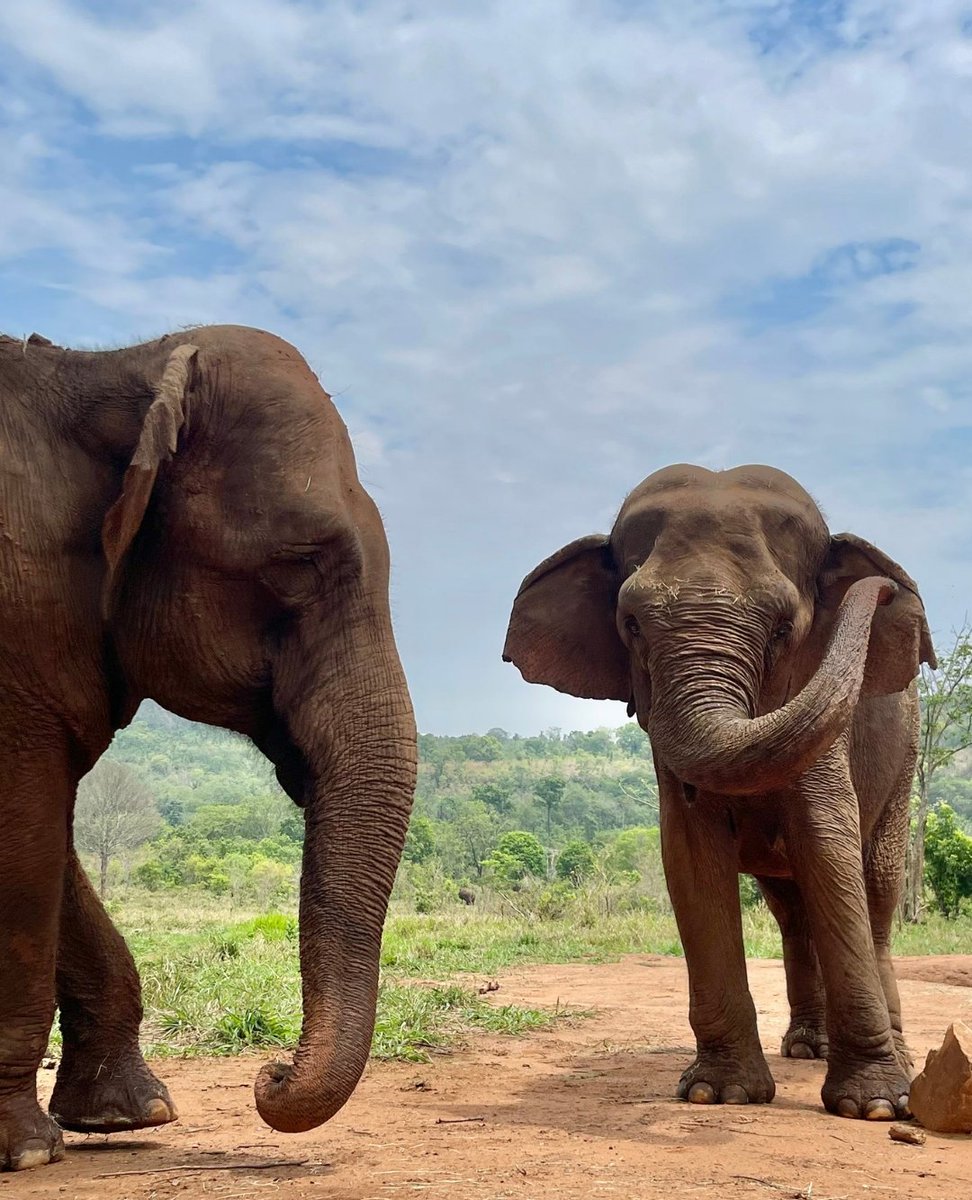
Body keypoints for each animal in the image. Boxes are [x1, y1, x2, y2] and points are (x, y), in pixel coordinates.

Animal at [0, 326, 412, 1171]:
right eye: (297, 566)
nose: (272, 1071)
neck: (116, 369)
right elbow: (25, 842)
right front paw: (26, 1151)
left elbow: (47, 845)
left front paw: (130, 1116)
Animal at [499, 463, 931, 1118]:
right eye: (631, 624)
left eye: (784, 628)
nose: (886, 585)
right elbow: (690, 854)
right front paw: (718, 1094)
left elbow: (828, 843)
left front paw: (877, 1107)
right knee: (790, 909)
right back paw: (807, 1047)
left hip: (906, 755)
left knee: (876, 889)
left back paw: (890, 1059)